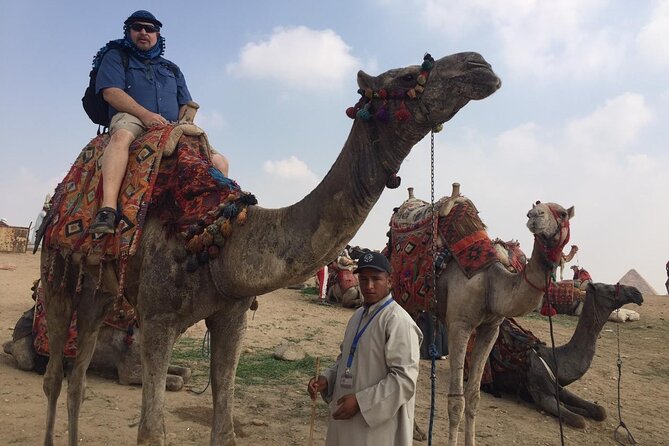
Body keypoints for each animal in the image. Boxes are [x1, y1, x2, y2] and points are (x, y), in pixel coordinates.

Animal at [38, 52, 500, 446]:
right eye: (407, 75)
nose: (481, 65)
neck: (218, 236)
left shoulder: (232, 314)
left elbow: (225, 430)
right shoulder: (157, 317)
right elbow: (152, 432)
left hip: (102, 291)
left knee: (79, 375)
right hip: (57, 270)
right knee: (55, 375)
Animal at [388, 187, 574, 446]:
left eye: (563, 213)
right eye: (536, 207)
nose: (534, 215)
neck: (491, 284)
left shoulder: (490, 329)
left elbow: (474, 396)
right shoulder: (459, 326)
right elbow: (456, 400)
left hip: (415, 308)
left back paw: (417, 431)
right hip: (400, 296)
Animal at [480, 282, 643, 427]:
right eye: (609, 288)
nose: (637, 292)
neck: (553, 360)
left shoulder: (559, 388)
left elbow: (599, 410)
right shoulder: (543, 395)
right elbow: (579, 420)